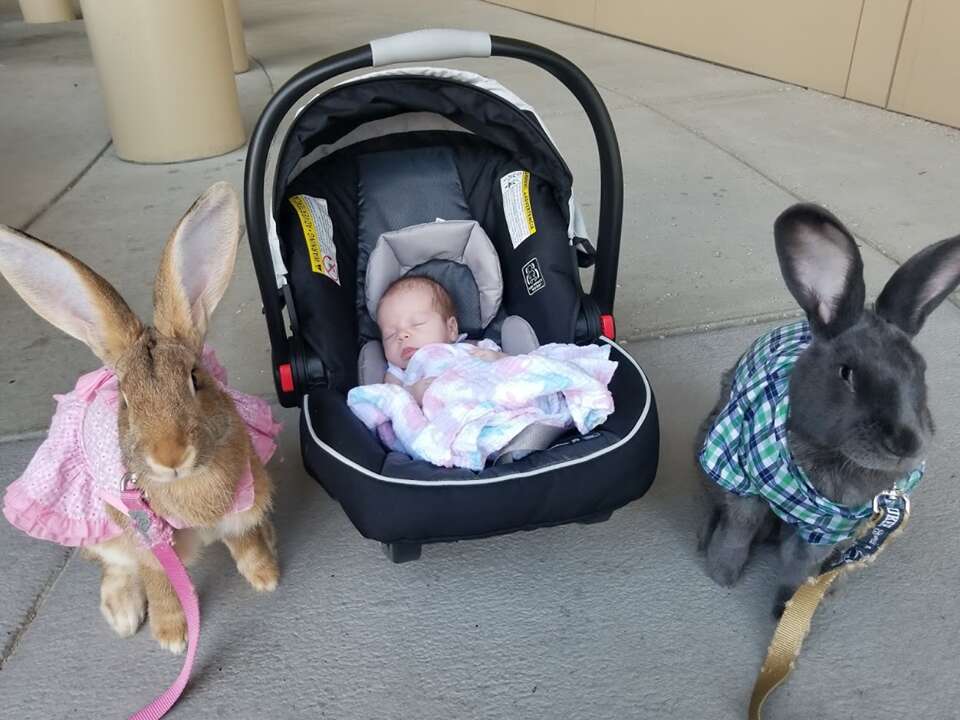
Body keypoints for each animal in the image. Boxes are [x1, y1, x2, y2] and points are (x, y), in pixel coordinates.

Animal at [0, 183, 278, 656]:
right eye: (126, 400)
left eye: (195, 379)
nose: (171, 455)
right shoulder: (146, 542)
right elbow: (159, 582)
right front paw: (172, 637)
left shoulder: (245, 503)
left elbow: (245, 539)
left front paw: (266, 576)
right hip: (102, 527)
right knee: (110, 563)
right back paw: (123, 612)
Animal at [692, 201, 960, 612]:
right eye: (846, 373)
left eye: (921, 370)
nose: (906, 444)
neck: (832, 458)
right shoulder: (740, 477)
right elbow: (740, 526)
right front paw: (722, 574)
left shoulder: (831, 526)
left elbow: (801, 562)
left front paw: (789, 604)